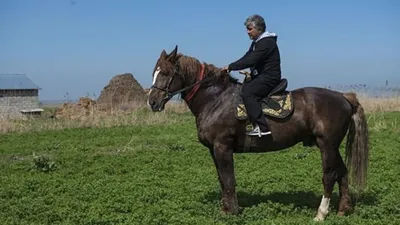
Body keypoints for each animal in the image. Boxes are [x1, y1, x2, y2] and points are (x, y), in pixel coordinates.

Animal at [146, 45, 368, 221]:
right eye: (154, 72)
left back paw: (321, 214)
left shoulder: (222, 146)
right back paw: (343, 209)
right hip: (333, 146)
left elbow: (229, 179)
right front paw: (225, 209)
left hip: (326, 145)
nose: (152, 102)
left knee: (329, 176)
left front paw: (233, 211)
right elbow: (221, 179)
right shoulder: (213, 149)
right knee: (342, 173)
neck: (215, 99)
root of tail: (344, 97)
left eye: (165, 72)